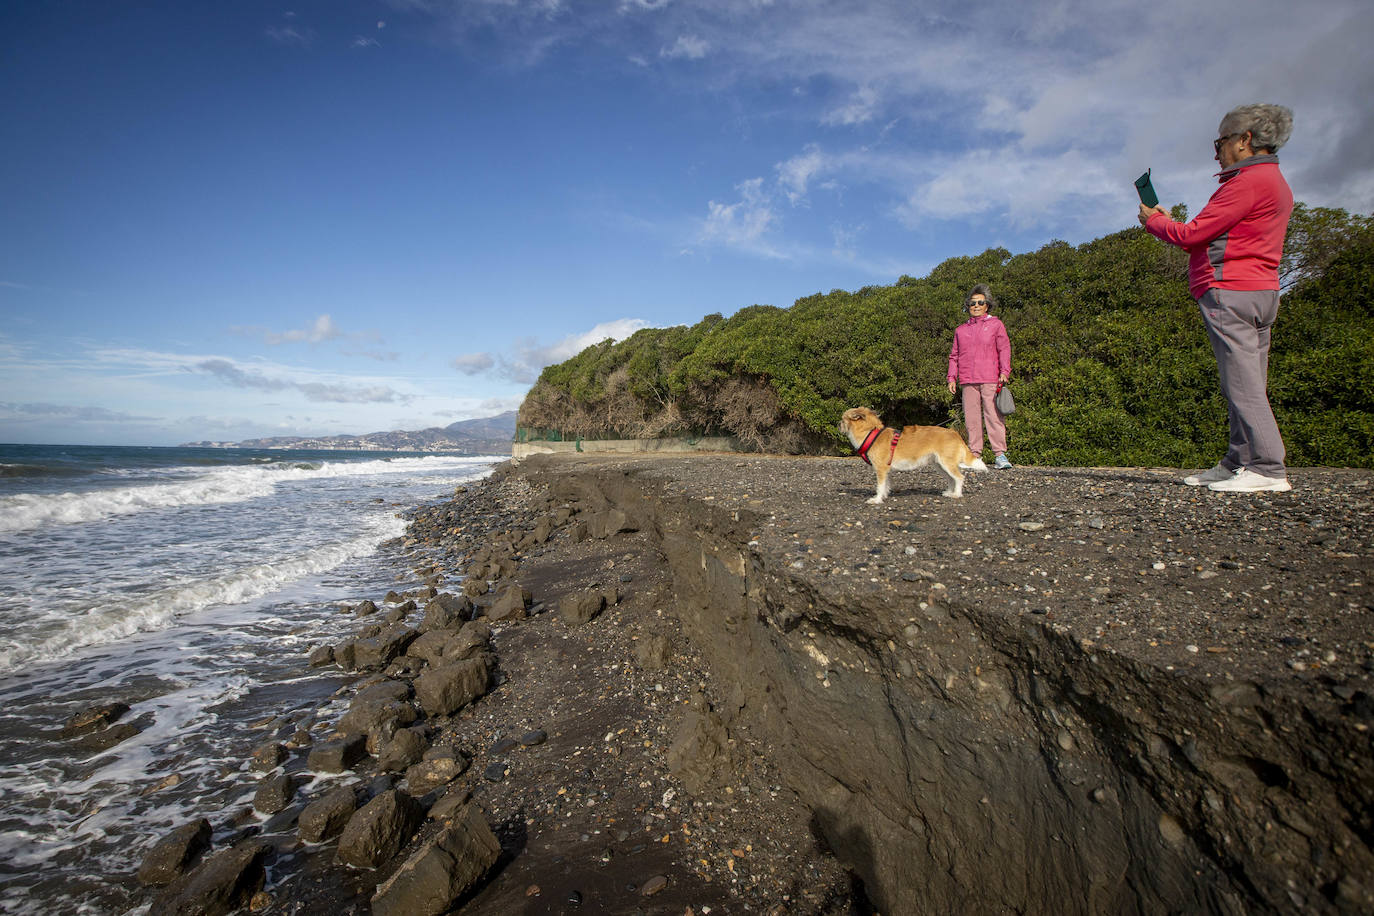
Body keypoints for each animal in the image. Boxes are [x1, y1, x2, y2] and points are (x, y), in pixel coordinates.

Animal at [835, 409, 989, 505]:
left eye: (842, 419)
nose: (837, 424)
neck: (870, 433)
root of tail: (954, 433)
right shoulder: (886, 470)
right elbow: (886, 486)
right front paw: (884, 496)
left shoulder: (881, 469)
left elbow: (880, 486)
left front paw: (877, 499)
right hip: (940, 465)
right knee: (952, 479)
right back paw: (950, 492)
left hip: (947, 464)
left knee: (959, 477)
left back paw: (956, 494)